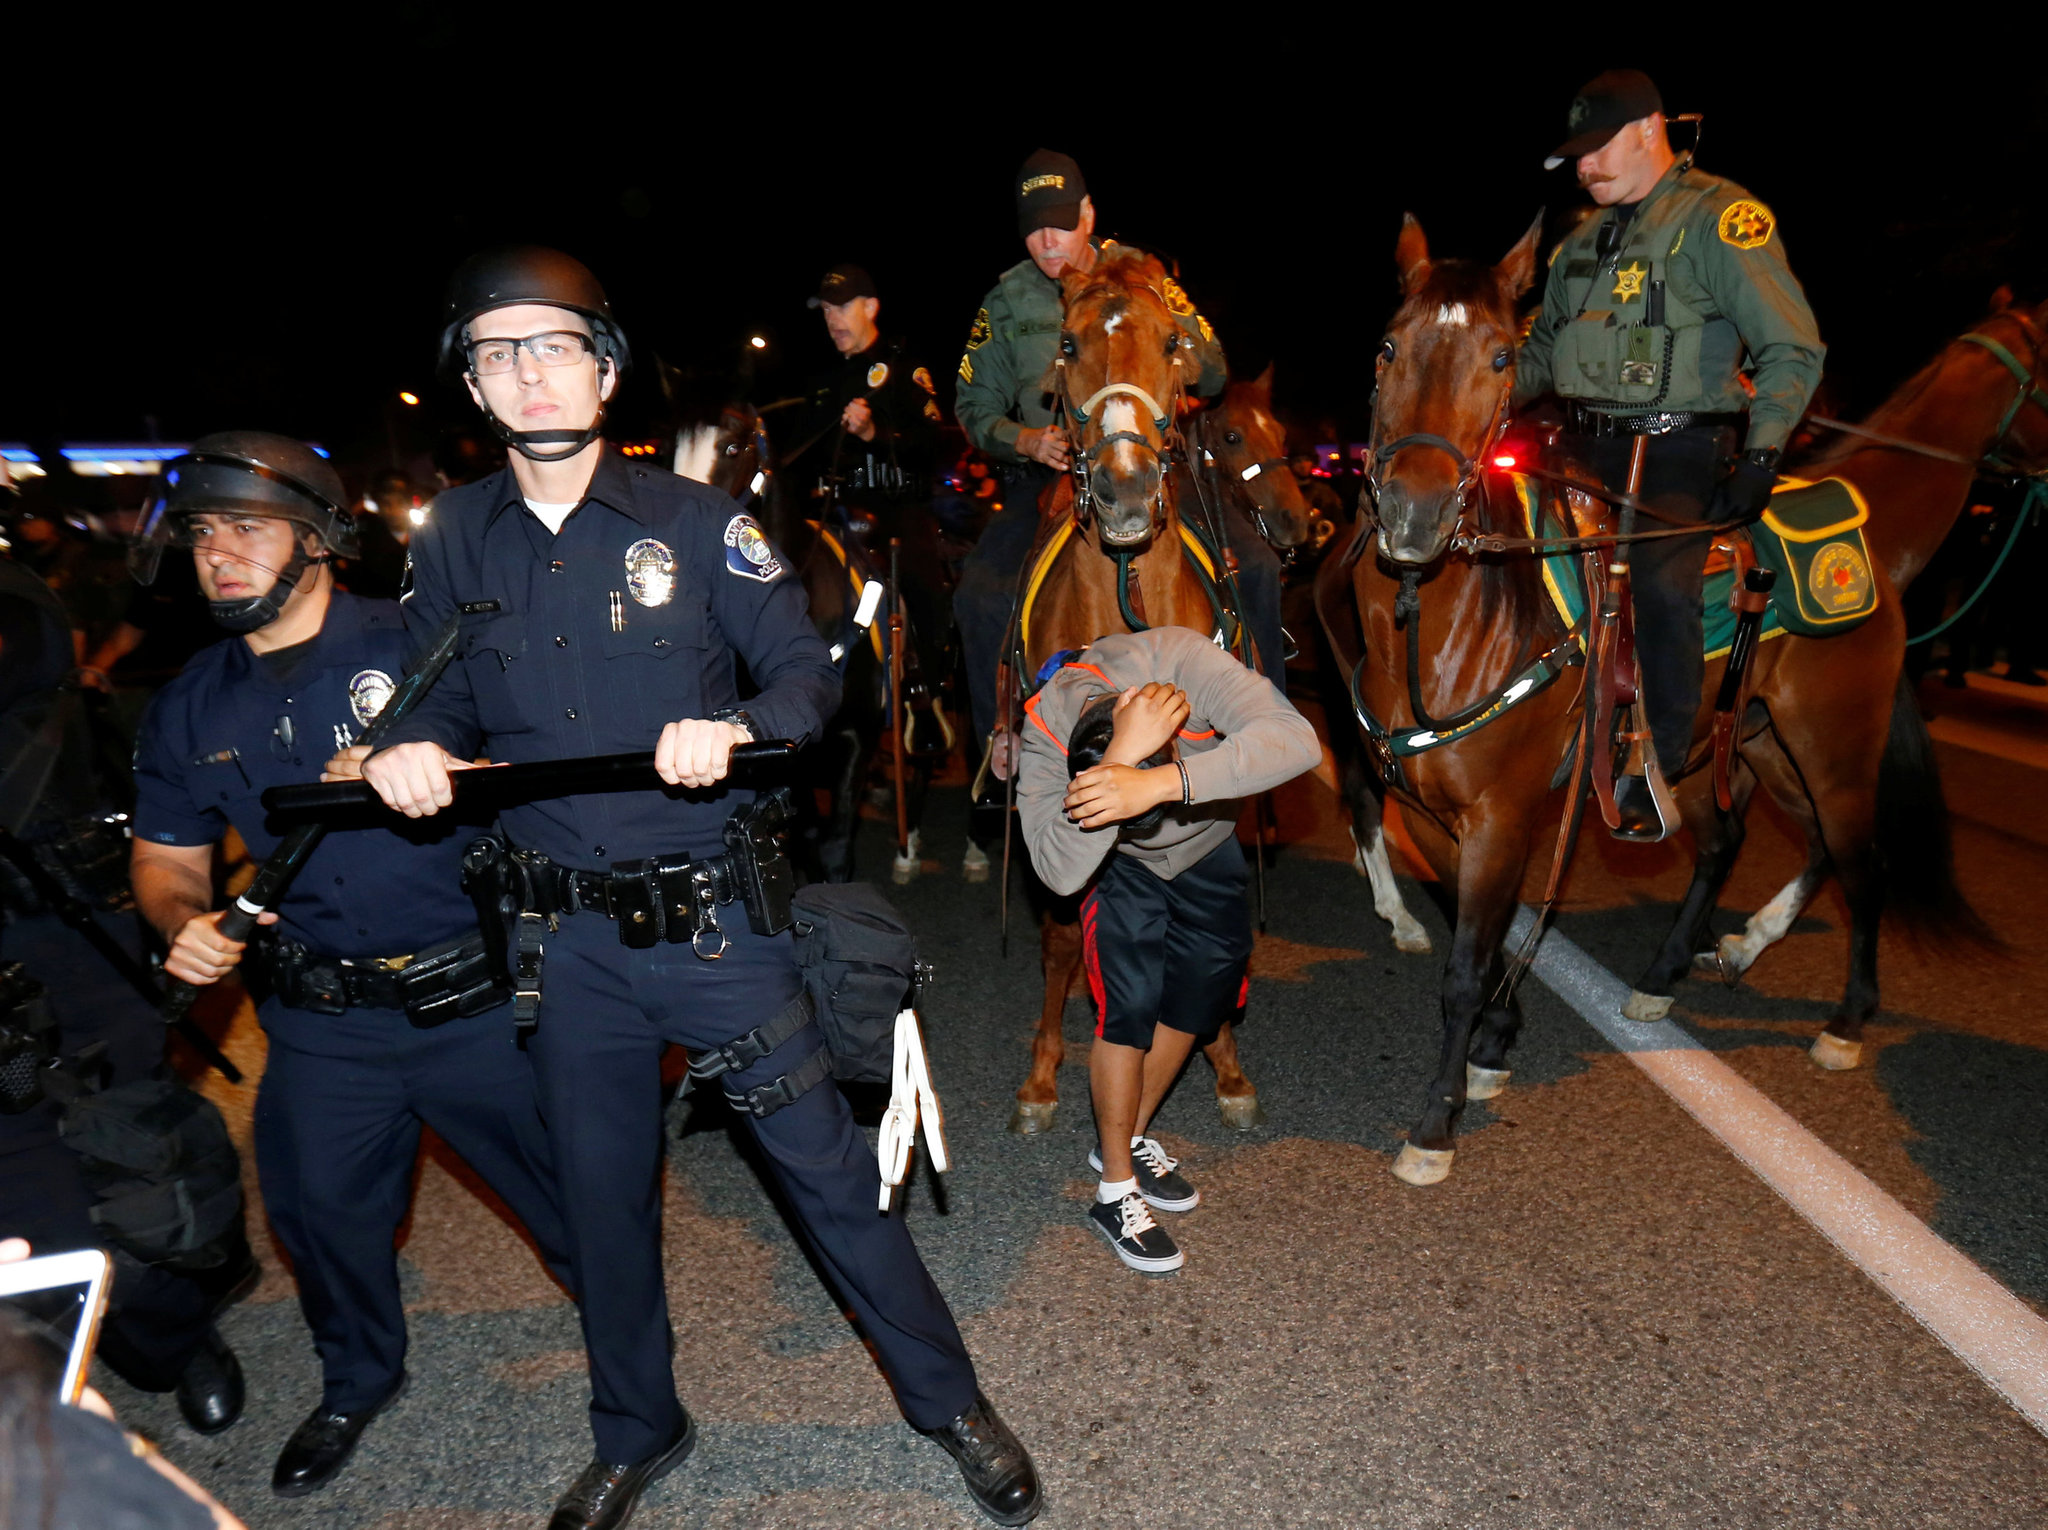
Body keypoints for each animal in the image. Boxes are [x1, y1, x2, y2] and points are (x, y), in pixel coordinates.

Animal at [1003, 248, 1269, 1138]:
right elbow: (1059, 938)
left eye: (1174, 342)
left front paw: (1225, 1065)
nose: (1123, 489)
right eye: (1068, 343)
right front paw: (1042, 1078)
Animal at [1327, 218, 2031, 1187]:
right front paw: (1498, 1039)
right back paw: (1677, 971)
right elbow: (1485, 934)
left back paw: (1846, 1021)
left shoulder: (1503, 817)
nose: (1413, 513)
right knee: (1748, 842)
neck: (1451, 620)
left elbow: (1468, 964)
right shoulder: (1439, 816)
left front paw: (1437, 1120)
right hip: (1739, 747)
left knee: (1862, 862)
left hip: (1832, 749)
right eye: (1388, 346)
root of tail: (1872, 567)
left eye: (1503, 356)